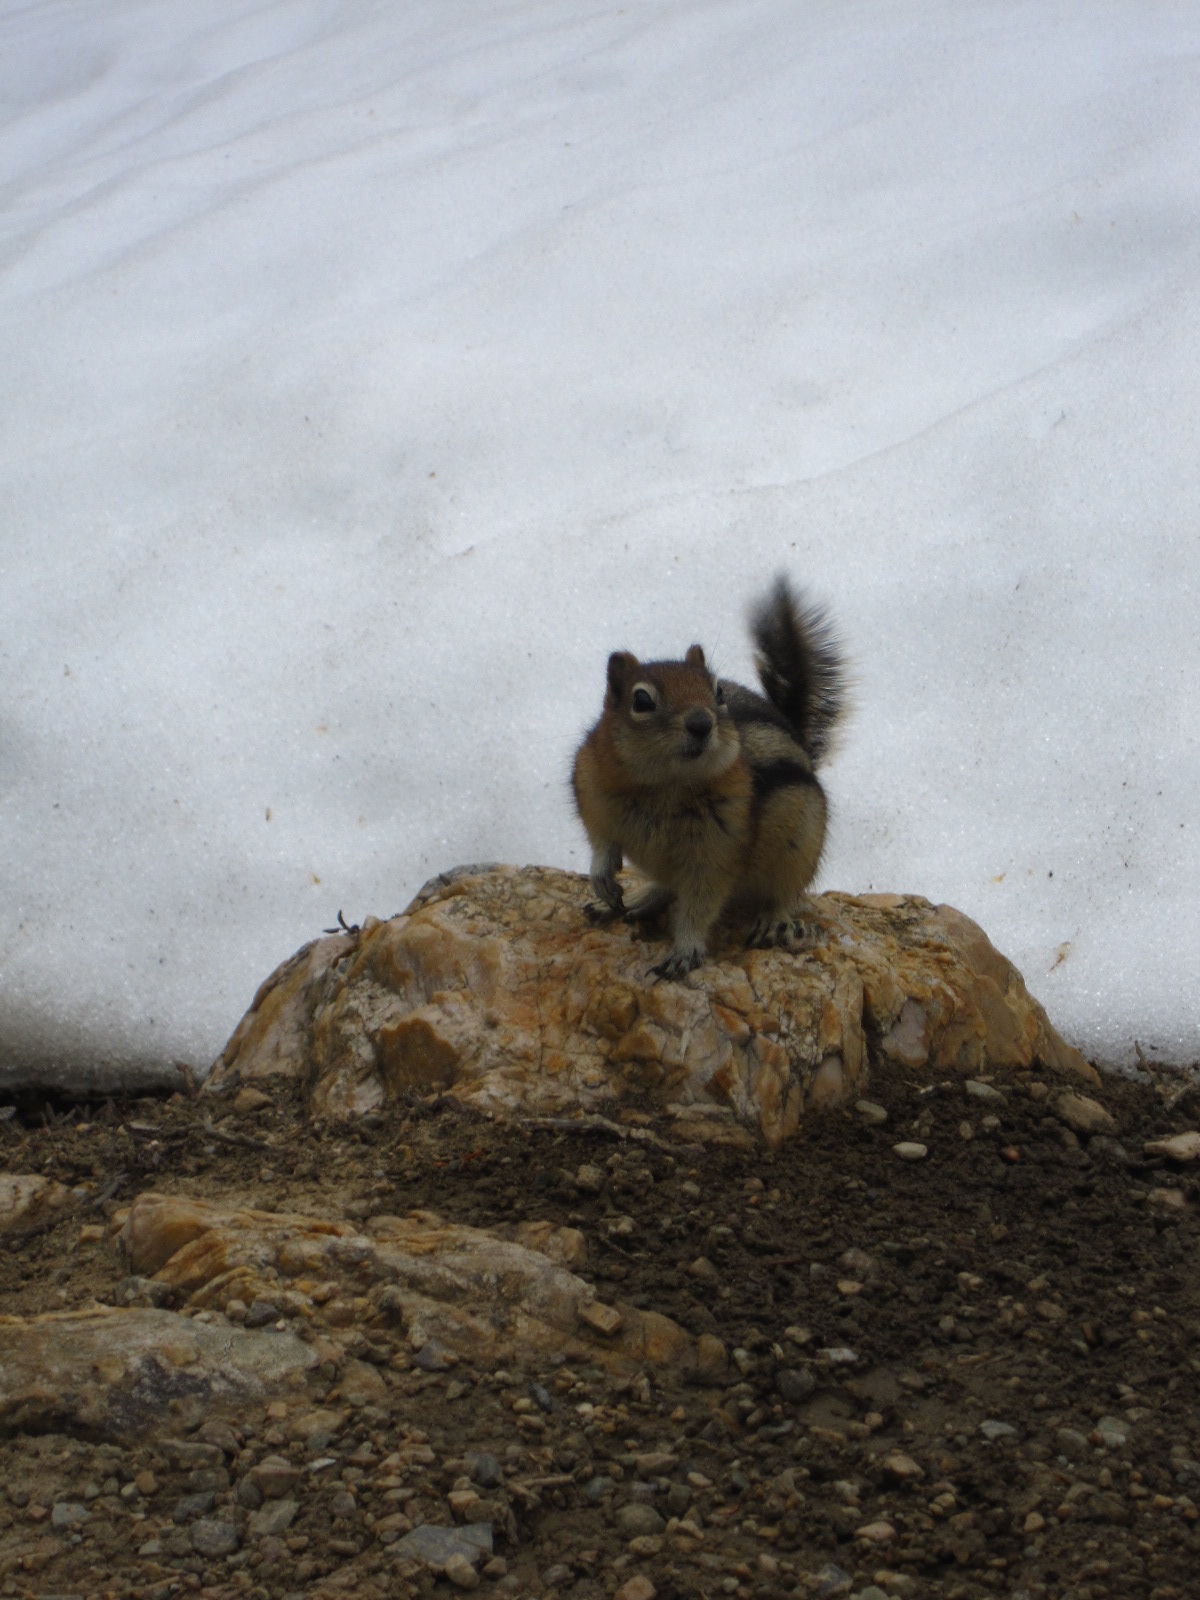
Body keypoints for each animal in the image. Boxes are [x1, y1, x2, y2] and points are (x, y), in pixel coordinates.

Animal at [571, 576, 847, 980]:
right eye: (642, 701)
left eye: (717, 692)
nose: (701, 723)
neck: (664, 786)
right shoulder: (590, 787)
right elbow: (601, 841)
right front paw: (602, 877)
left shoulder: (715, 855)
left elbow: (699, 907)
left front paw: (683, 951)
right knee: (665, 886)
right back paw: (630, 900)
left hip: (800, 848)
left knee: (784, 894)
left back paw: (773, 920)